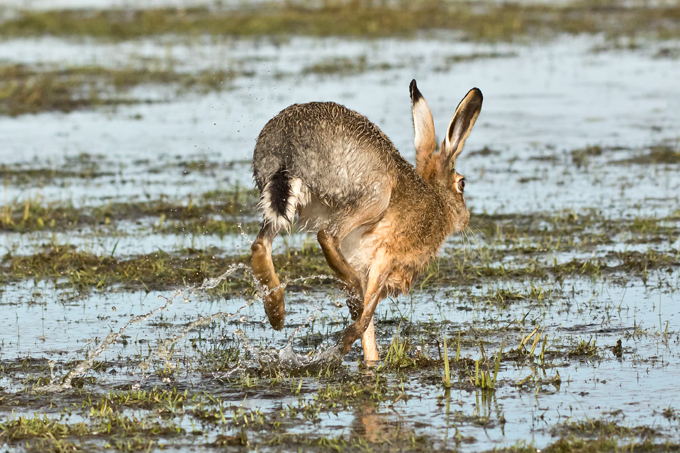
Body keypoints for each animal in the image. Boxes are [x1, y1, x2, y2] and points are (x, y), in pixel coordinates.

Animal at [250, 79, 482, 361]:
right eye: (462, 184)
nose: (466, 218)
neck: (437, 198)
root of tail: (288, 152)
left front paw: (370, 359)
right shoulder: (385, 256)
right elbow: (369, 313)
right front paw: (357, 347)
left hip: (282, 198)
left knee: (261, 244)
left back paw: (276, 311)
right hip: (375, 196)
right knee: (327, 236)